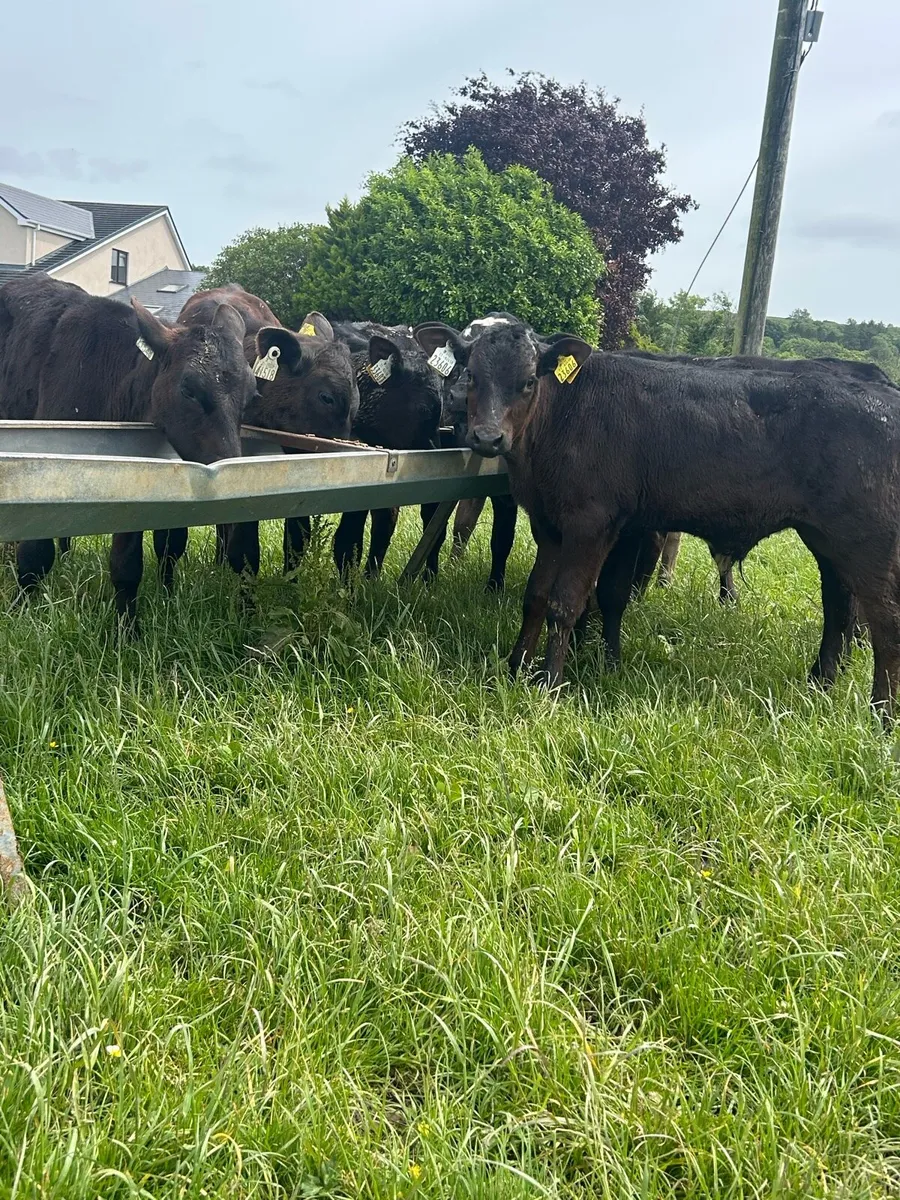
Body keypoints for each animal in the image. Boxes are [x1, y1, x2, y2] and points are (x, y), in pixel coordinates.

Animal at [0, 274, 252, 627]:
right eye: (188, 389)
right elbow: (35, 554)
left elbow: (127, 563)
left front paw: (127, 629)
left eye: (252, 394)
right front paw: (18, 610)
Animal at [414, 321, 900, 723]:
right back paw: (820, 684)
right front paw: (516, 666)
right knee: (839, 607)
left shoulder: (593, 524)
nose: (488, 438)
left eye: (529, 381)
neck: (565, 415)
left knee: (885, 623)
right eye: (472, 376)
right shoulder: (549, 525)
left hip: (868, 542)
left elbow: (567, 603)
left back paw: (881, 716)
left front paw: (550, 683)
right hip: (828, 539)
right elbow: (535, 597)